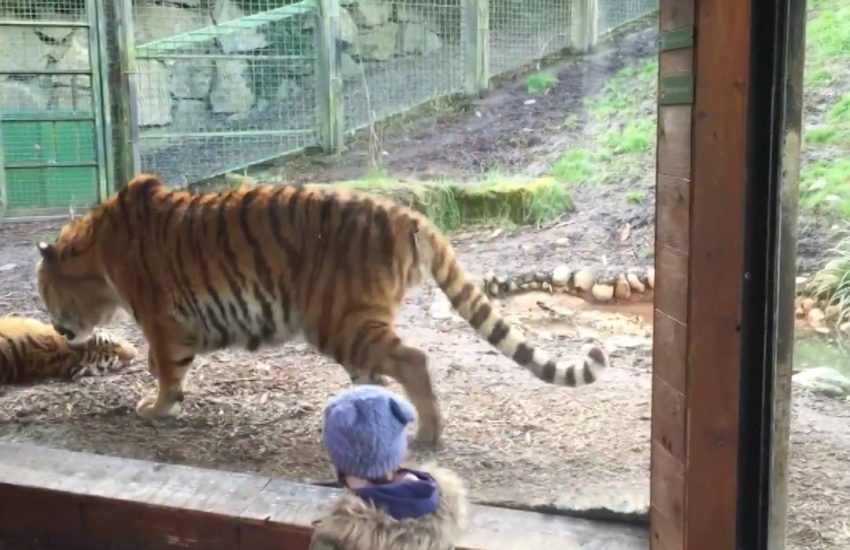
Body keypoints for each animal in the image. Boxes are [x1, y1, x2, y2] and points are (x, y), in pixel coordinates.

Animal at [35, 173, 609, 445]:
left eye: (44, 294)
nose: (60, 332)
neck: (97, 252)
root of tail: (410, 215)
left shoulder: (162, 321)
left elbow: (165, 368)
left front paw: (157, 408)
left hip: (338, 320)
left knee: (412, 360)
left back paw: (427, 434)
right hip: (353, 324)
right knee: (380, 375)